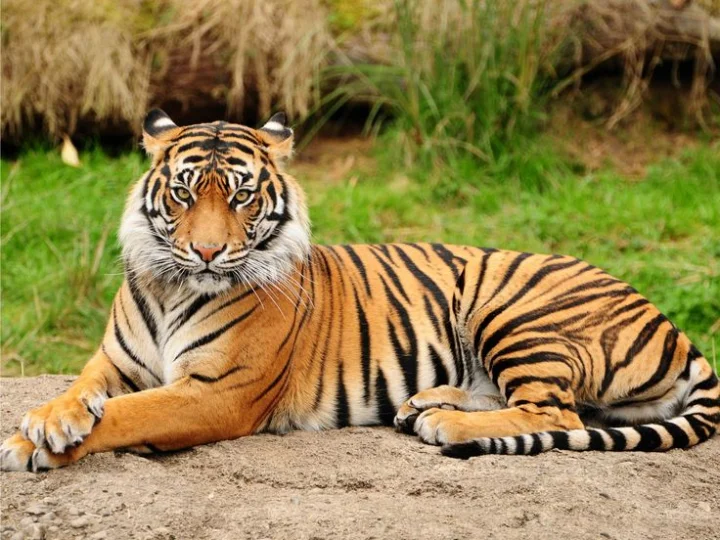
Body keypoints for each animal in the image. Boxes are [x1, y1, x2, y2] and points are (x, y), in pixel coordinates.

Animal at [1, 109, 718, 472]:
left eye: (239, 196)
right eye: (183, 192)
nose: (206, 252)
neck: (173, 285)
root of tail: (673, 325)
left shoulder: (216, 392)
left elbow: (129, 415)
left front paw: (34, 443)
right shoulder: (115, 361)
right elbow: (83, 391)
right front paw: (45, 422)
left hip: (512, 309)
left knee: (558, 413)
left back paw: (444, 423)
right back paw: (424, 404)